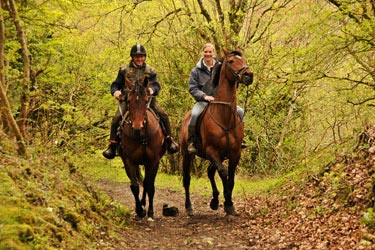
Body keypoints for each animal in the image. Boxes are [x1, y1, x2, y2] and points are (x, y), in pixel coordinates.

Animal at [117, 76, 164, 219]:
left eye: (145, 100)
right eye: (128, 101)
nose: (137, 127)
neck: (142, 136)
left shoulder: (154, 161)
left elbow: (150, 186)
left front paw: (150, 212)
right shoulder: (129, 161)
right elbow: (135, 186)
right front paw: (139, 210)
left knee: (147, 183)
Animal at [181, 47, 254, 216]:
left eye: (244, 60)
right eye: (231, 61)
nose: (249, 75)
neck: (224, 116)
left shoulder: (234, 153)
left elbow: (231, 178)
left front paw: (229, 205)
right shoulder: (212, 151)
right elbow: (224, 173)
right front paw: (227, 203)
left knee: (209, 172)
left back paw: (214, 201)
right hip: (187, 155)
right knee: (187, 179)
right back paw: (189, 207)